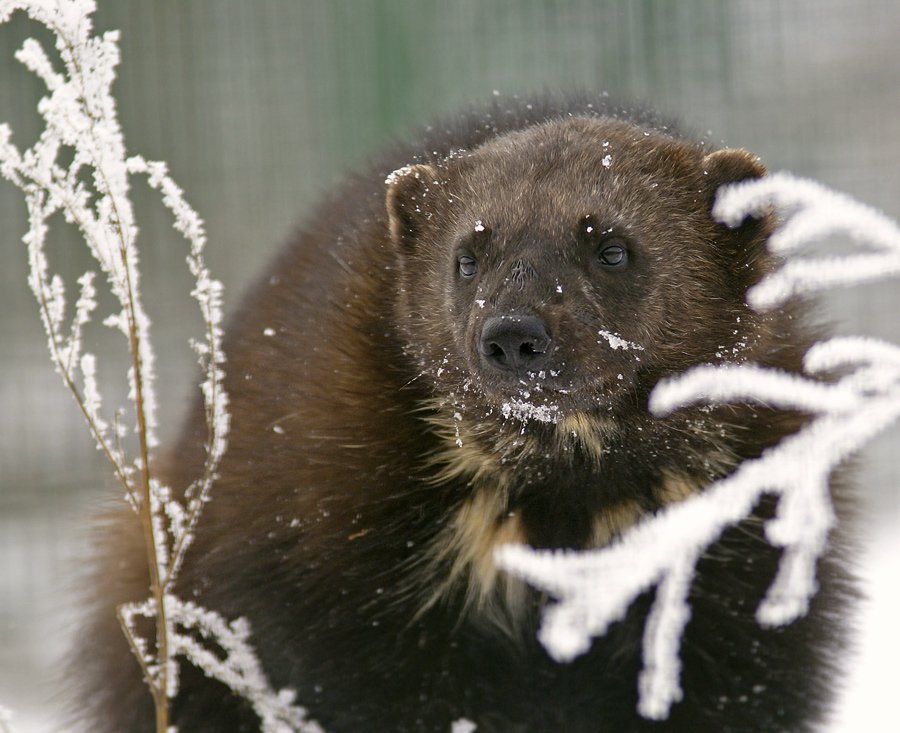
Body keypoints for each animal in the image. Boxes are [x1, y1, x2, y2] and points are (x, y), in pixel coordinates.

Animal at [75, 96, 854, 733]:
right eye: (469, 255)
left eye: (612, 247)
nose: (513, 333)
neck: (566, 495)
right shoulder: (323, 544)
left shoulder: (746, 553)